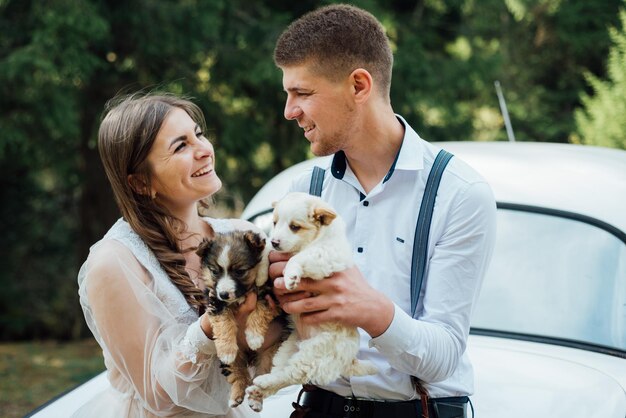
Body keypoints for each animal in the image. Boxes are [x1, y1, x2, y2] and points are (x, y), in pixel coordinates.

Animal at [196, 229, 284, 408]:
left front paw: (254, 337)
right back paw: (236, 395)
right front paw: (227, 349)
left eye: (240, 271)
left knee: (261, 375)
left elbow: (260, 309)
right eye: (214, 271)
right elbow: (223, 323)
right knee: (238, 373)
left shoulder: (270, 295)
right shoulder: (215, 301)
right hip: (235, 360)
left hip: (270, 353)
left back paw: (255, 399)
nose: (224, 294)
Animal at [245, 192, 376, 412]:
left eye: (294, 227)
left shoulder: (324, 254)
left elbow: (298, 258)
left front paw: (290, 275)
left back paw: (262, 383)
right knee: (280, 372)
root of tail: (349, 360)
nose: (276, 241)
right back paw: (258, 392)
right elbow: (267, 252)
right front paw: (262, 272)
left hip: (313, 355)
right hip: (287, 350)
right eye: (274, 222)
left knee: (290, 376)